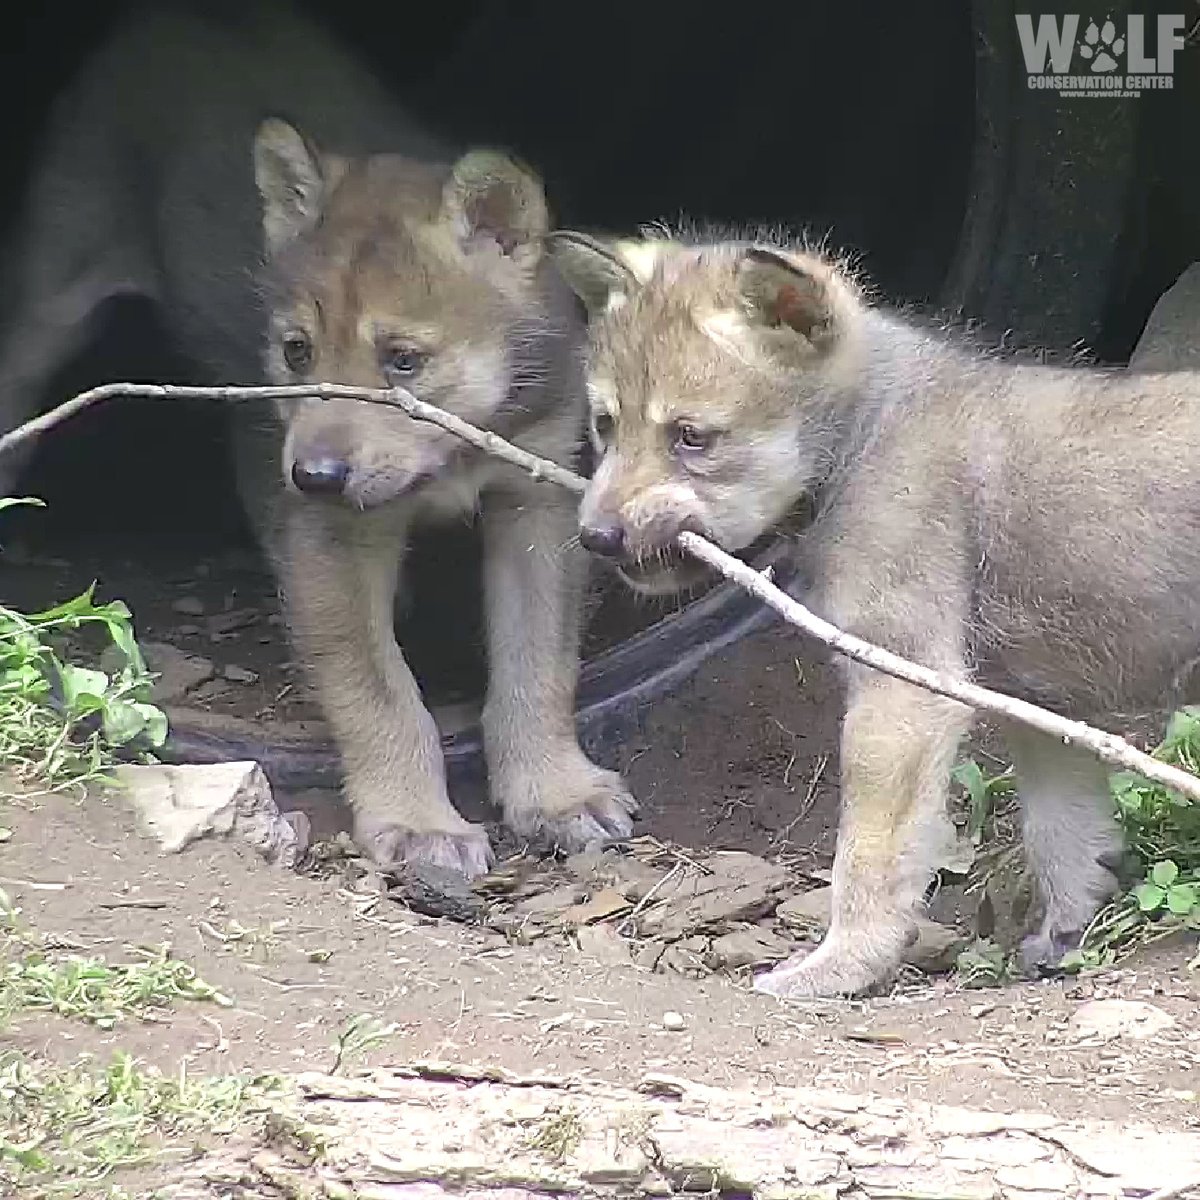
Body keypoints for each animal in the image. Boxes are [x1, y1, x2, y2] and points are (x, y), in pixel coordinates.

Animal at [0, 3, 637, 877]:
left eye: (404, 360)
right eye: (299, 351)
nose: (316, 473)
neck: (459, 454)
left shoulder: (535, 502)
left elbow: (538, 664)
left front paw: (555, 794)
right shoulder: (332, 535)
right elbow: (379, 687)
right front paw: (419, 823)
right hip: (51, 300)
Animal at [546, 225, 1200, 998]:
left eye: (691, 436)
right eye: (605, 425)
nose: (595, 537)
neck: (867, 433)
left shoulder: (902, 689)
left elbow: (866, 861)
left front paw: (837, 969)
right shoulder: (1035, 707)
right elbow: (1064, 837)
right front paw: (1061, 940)